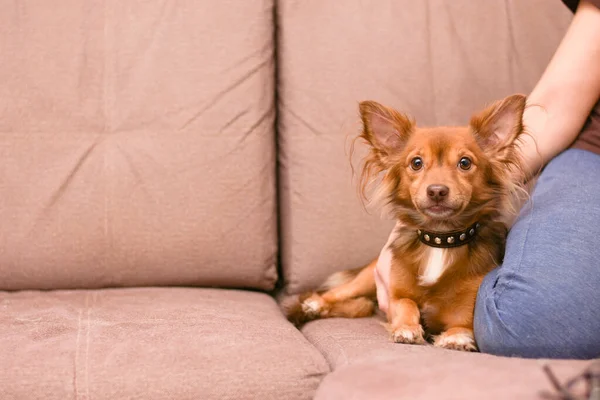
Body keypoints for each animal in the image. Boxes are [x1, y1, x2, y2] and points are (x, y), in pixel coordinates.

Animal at [284, 94, 528, 350]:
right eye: (416, 163)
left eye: (465, 163)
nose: (437, 191)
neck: (440, 238)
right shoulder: (395, 294)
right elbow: (406, 304)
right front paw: (407, 328)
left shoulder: (468, 305)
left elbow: (462, 324)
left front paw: (456, 337)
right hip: (366, 278)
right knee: (335, 294)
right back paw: (314, 304)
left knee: (361, 306)